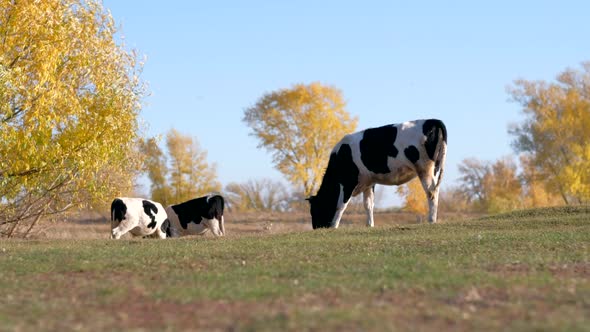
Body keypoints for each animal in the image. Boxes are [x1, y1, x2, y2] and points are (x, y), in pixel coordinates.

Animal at [310, 118, 448, 230]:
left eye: (314, 210)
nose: (316, 228)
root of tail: (432, 120)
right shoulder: (368, 182)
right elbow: (368, 205)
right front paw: (369, 225)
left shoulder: (348, 181)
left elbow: (341, 205)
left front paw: (334, 226)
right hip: (434, 168)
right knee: (434, 191)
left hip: (424, 168)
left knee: (431, 192)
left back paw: (431, 220)